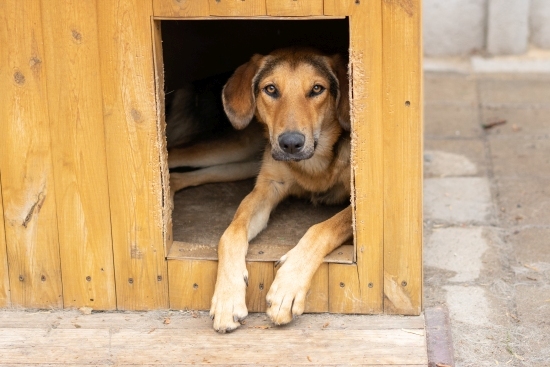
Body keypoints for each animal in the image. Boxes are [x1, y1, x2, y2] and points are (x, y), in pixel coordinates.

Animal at [166, 48, 354, 334]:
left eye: (317, 89)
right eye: (271, 89)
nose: (290, 144)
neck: (315, 163)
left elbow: (322, 228)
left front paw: (288, 286)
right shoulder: (267, 187)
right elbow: (230, 234)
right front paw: (228, 298)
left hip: (240, 161)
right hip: (234, 147)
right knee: (170, 153)